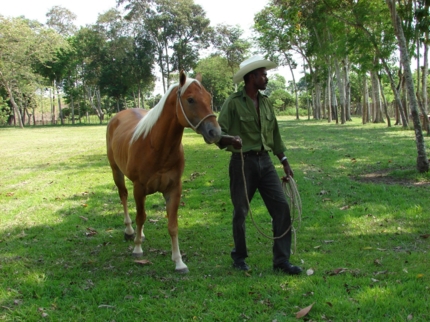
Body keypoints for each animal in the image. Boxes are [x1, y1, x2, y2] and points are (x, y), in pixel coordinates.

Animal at [106, 71, 222, 272]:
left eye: (209, 97)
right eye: (190, 99)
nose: (215, 132)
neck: (156, 146)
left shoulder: (173, 189)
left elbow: (172, 225)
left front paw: (179, 262)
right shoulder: (139, 188)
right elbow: (140, 217)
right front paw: (137, 249)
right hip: (116, 172)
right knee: (124, 197)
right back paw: (129, 232)